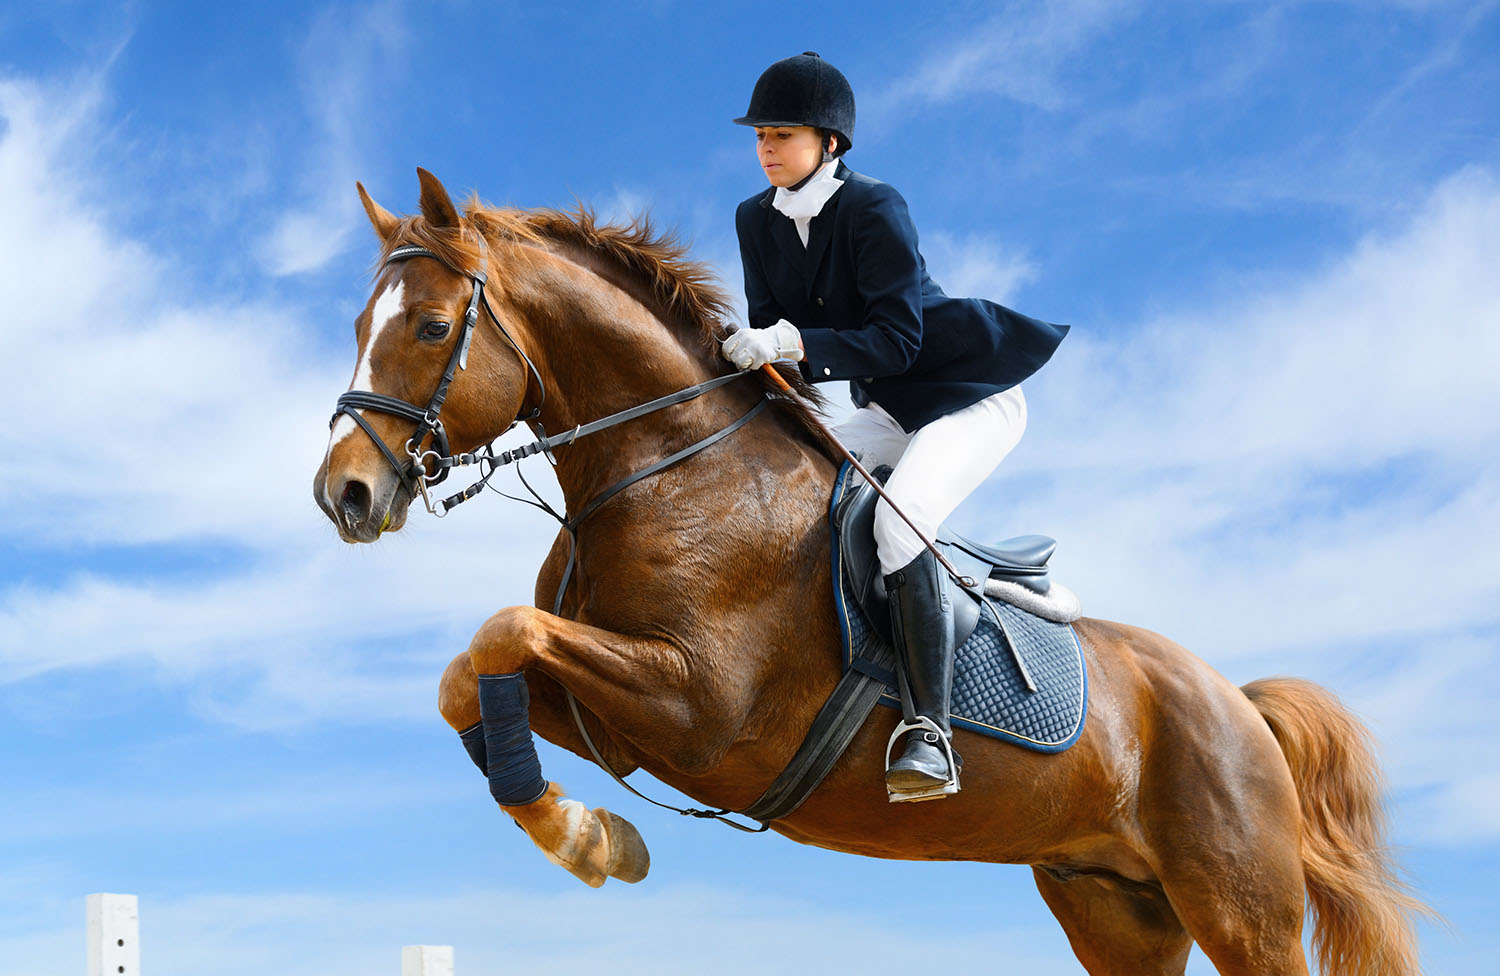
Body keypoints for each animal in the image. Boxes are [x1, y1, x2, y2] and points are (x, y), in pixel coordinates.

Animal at [310, 171, 1422, 976]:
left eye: (432, 327)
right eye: (359, 326)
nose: (344, 495)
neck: (665, 462)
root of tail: (1238, 703)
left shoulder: (699, 707)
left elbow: (500, 631)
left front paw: (587, 842)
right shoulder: (615, 716)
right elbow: (469, 671)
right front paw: (592, 837)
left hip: (1242, 909)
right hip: (1117, 909)